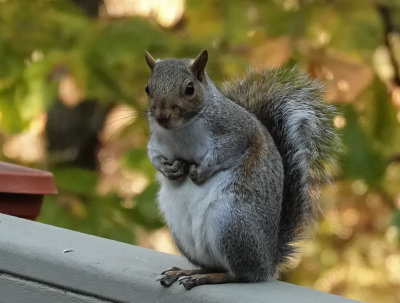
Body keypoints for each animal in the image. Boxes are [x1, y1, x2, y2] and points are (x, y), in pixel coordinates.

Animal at [144, 51, 338, 290]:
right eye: (148, 88)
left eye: (190, 88)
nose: (162, 116)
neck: (180, 131)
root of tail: (267, 261)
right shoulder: (157, 142)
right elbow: (153, 155)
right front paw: (168, 169)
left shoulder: (239, 130)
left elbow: (226, 151)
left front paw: (201, 171)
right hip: (184, 232)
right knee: (215, 266)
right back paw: (186, 272)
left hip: (232, 223)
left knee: (240, 274)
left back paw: (206, 277)